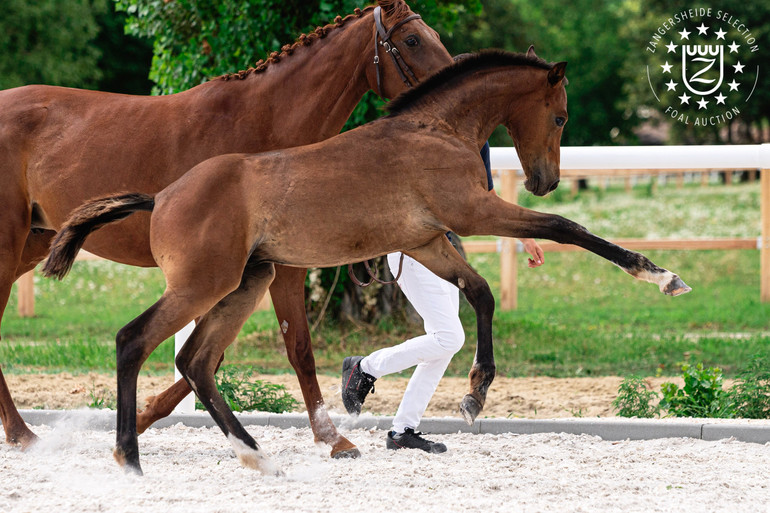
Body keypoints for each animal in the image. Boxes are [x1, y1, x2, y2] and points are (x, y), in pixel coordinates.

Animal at [0, 0, 450, 456]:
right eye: (413, 39)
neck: (263, 127)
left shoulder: (269, 269)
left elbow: (264, 351)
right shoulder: (243, 272)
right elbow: (238, 355)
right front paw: (333, 438)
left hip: (32, 246)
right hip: (8, 244)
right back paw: (22, 433)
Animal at [43, 50, 688, 474]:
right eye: (560, 117)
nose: (545, 180)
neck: (435, 129)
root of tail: (163, 196)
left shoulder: (430, 242)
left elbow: (480, 291)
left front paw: (474, 392)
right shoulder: (472, 212)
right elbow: (564, 229)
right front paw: (660, 276)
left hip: (246, 283)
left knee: (196, 361)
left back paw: (256, 456)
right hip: (206, 283)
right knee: (135, 340)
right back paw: (130, 458)